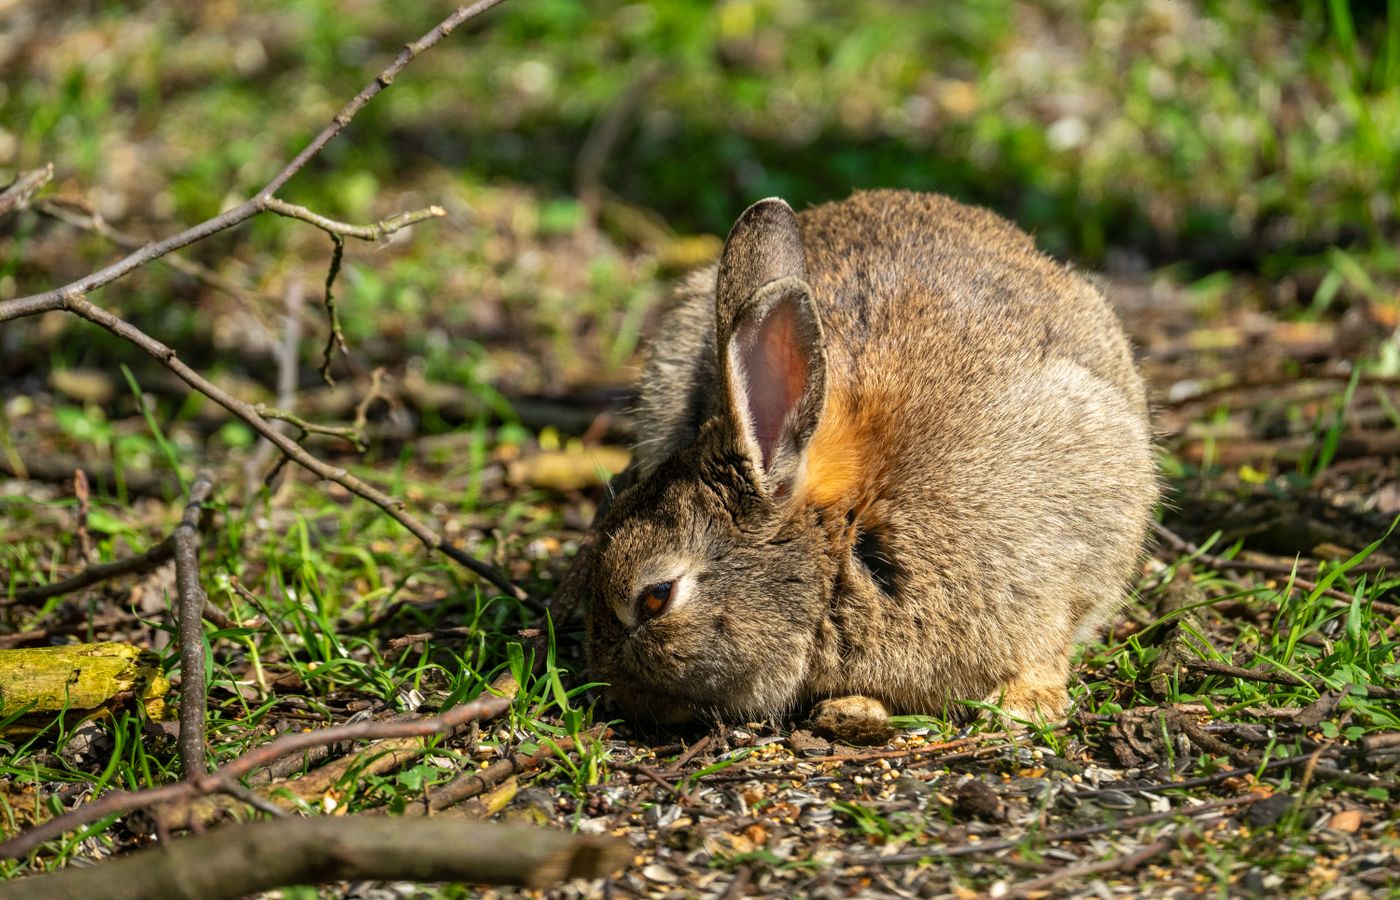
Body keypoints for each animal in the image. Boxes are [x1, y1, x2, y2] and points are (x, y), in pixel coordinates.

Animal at [578, 189, 1156, 738]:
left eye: (656, 598)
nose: (611, 691)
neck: (847, 530)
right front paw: (853, 705)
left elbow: (1051, 639)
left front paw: (1023, 705)